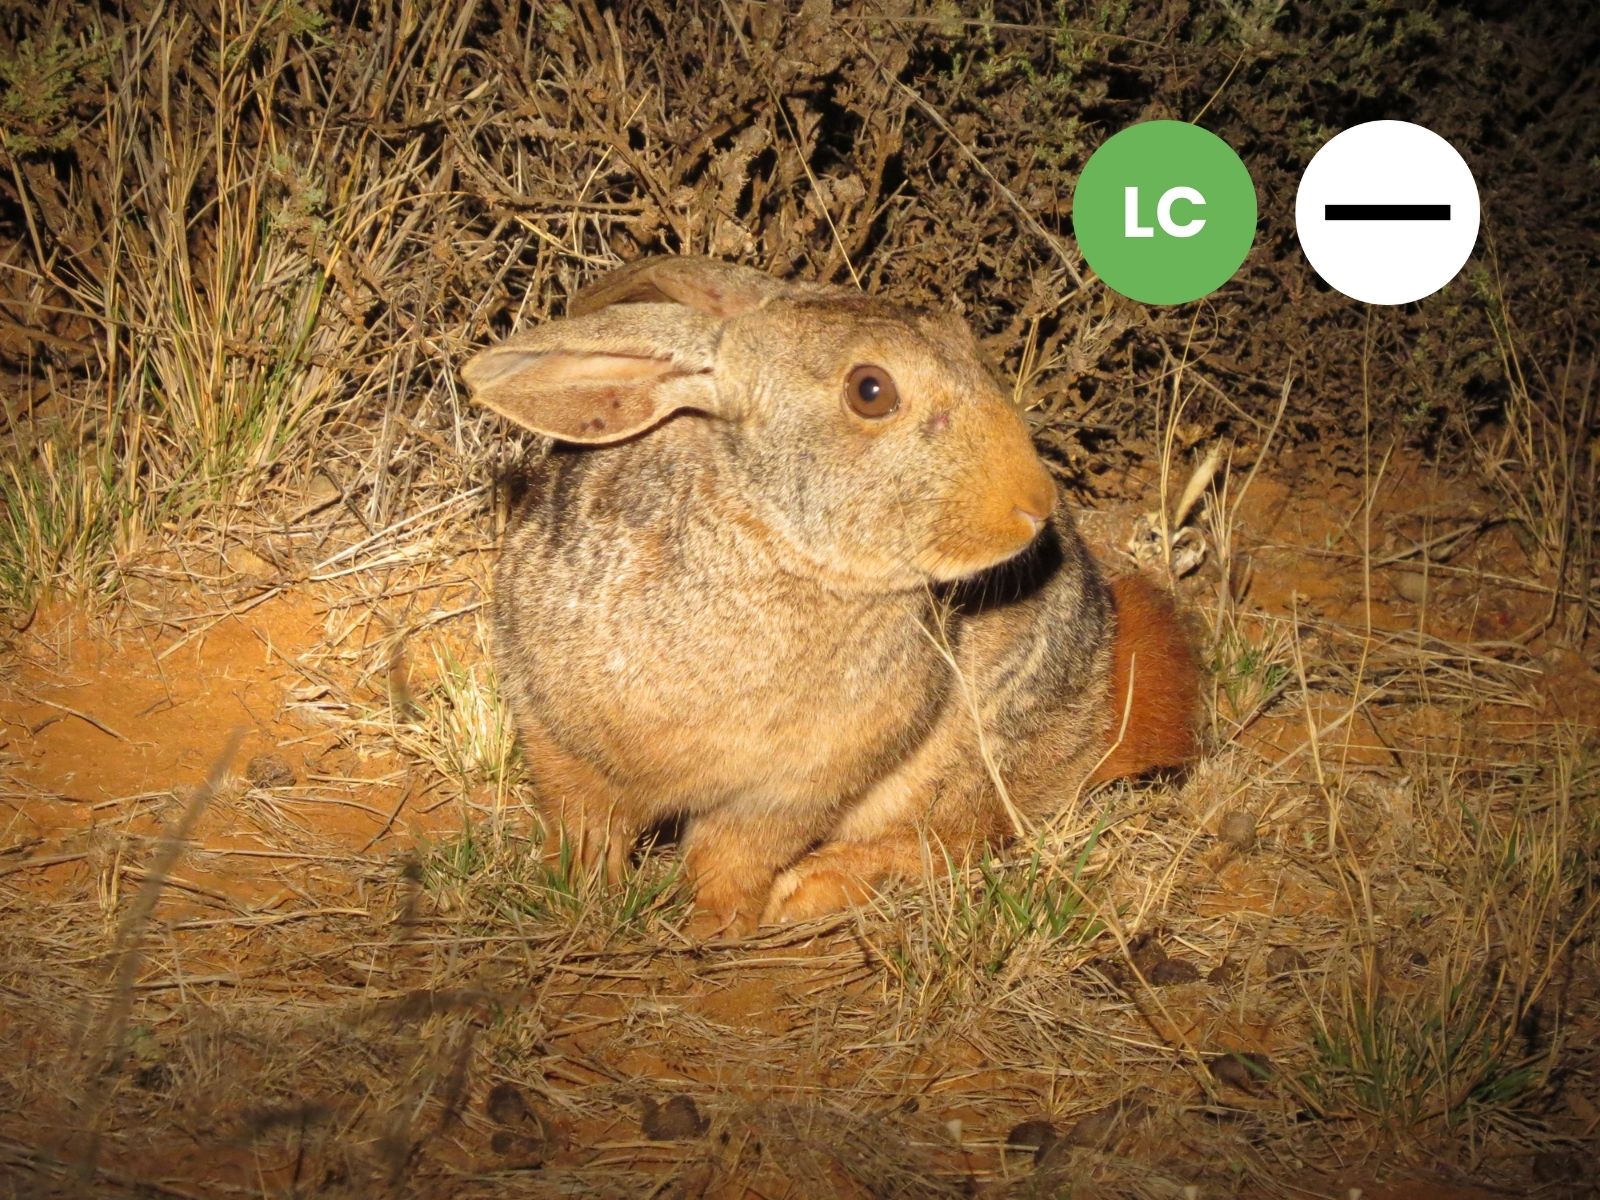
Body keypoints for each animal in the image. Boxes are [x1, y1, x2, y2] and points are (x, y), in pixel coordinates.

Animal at [462, 255, 1197, 932]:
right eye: (870, 390)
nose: (1034, 503)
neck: (774, 538)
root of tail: (1097, 711)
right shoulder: (554, 726)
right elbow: (583, 817)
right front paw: (586, 890)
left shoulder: (792, 792)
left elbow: (731, 857)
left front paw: (719, 926)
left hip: (971, 761)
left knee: (956, 839)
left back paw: (813, 890)